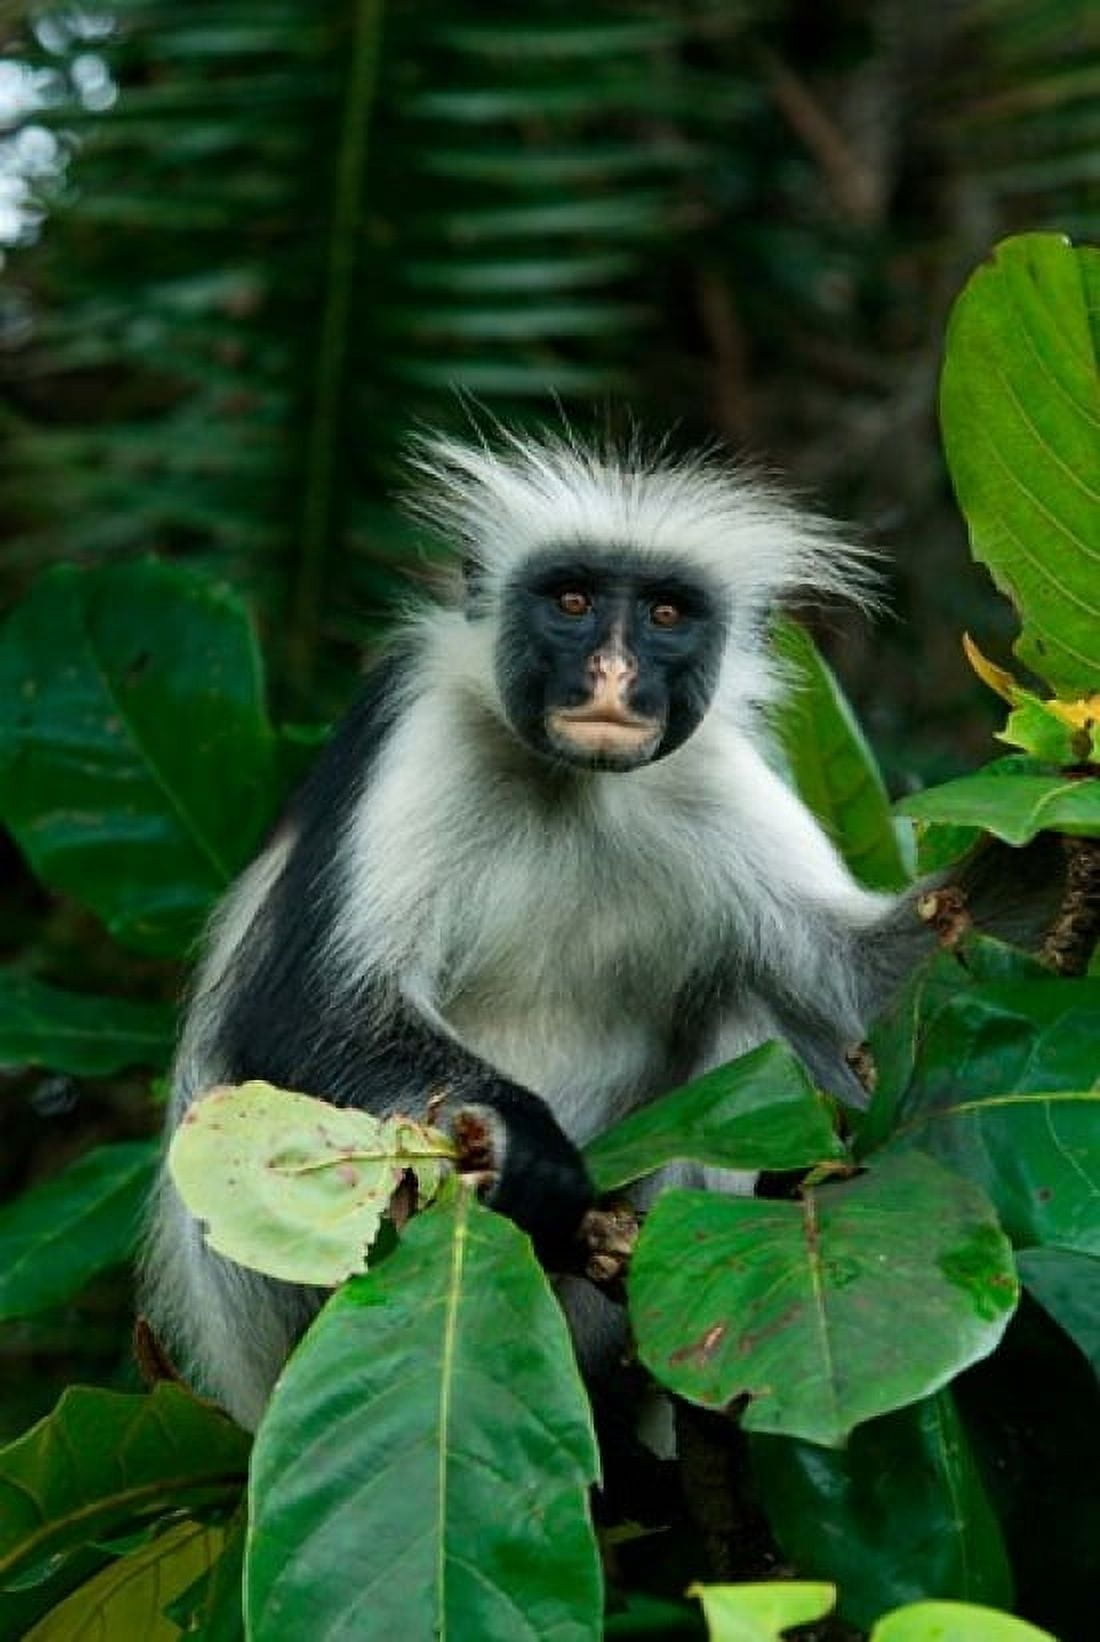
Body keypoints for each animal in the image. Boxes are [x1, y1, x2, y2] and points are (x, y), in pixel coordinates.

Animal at [142, 431, 949, 1431]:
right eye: (571, 602)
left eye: (666, 614)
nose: (613, 676)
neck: (575, 785)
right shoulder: (416, 728)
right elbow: (300, 1012)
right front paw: (528, 1144)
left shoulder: (712, 767)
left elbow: (855, 983)